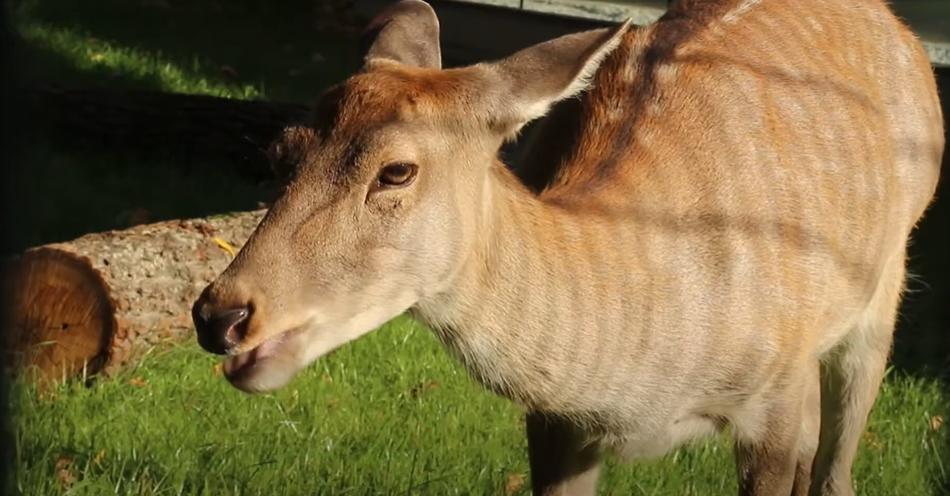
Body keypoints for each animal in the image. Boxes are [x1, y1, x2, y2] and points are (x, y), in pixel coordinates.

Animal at [192, 0, 944, 494]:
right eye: (282, 151)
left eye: (397, 170)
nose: (220, 315)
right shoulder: (553, 425)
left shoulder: (775, 393)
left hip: (886, 282)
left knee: (838, 462)